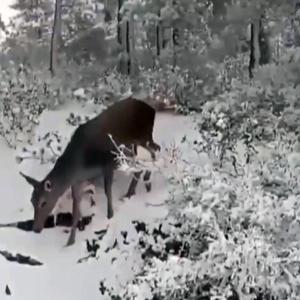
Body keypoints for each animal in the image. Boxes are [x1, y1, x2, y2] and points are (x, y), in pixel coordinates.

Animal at [19, 98, 161, 246]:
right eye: (32, 201)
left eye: (44, 202)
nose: (36, 229)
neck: (78, 165)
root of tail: (152, 109)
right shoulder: (77, 182)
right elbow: (76, 210)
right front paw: (70, 242)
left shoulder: (108, 164)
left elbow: (107, 191)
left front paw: (110, 216)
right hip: (135, 144)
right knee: (149, 155)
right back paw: (137, 188)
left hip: (144, 136)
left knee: (156, 150)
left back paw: (143, 183)